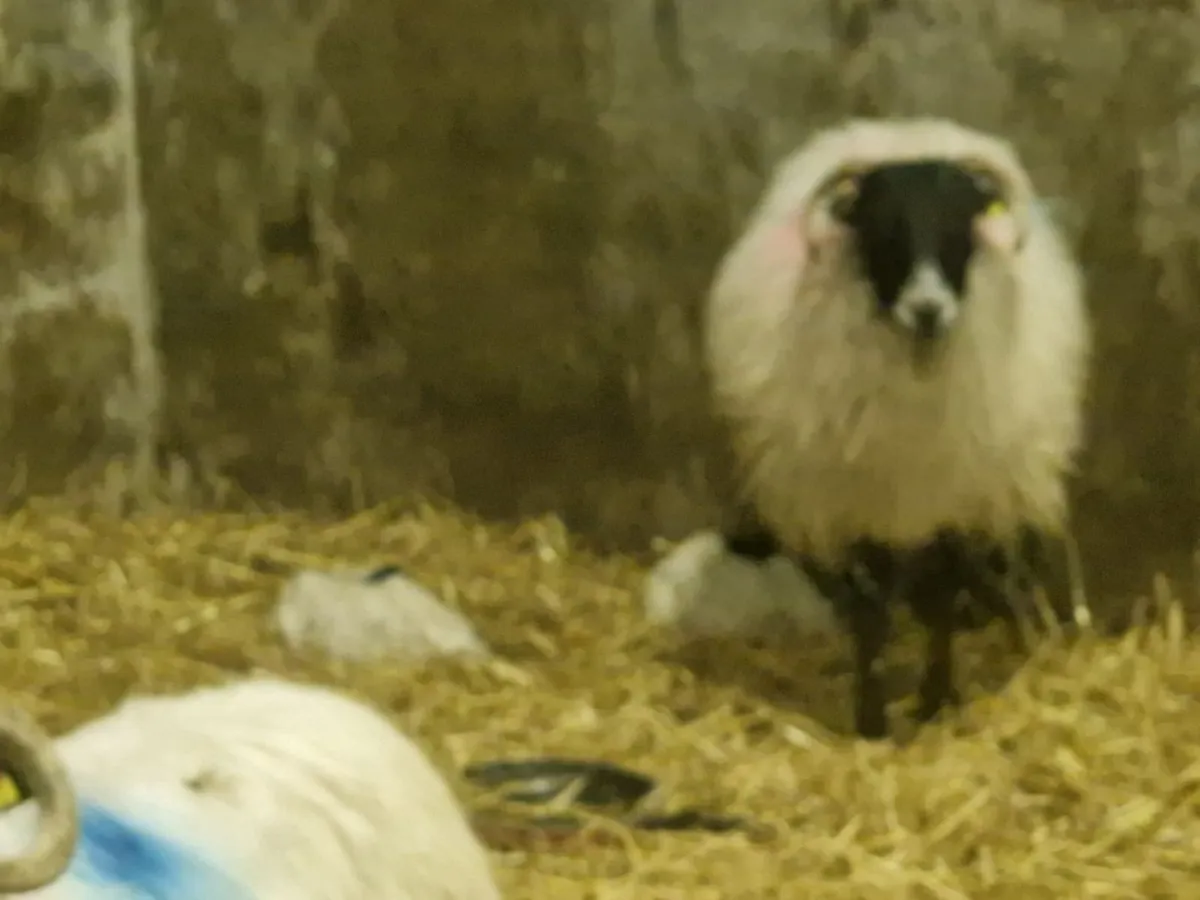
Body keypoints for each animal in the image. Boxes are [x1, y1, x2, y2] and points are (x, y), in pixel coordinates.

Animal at [704, 117, 1091, 739]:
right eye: (883, 226)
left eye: (962, 222)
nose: (928, 308)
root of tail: (905, 133)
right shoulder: (851, 506)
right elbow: (871, 614)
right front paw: (872, 716)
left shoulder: (957, 501)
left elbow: (941, 601)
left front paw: (936, 700)